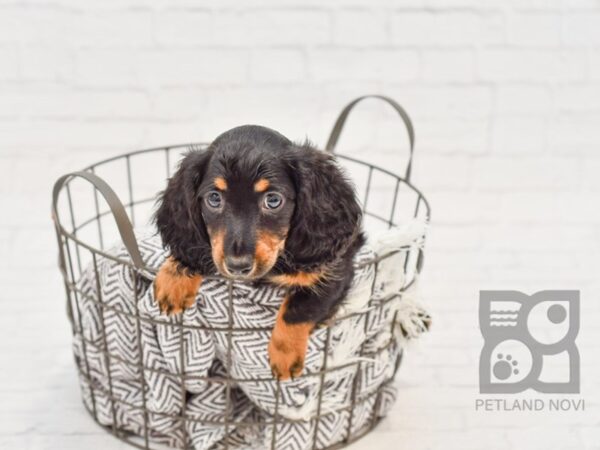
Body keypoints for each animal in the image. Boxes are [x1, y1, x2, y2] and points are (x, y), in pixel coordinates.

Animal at [152, 125, 364, 380]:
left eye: (273, 200)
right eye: (214, 198)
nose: (237, 266)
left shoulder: (336, 270)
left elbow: (300, 309)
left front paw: (285, 356)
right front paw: (176, 277)